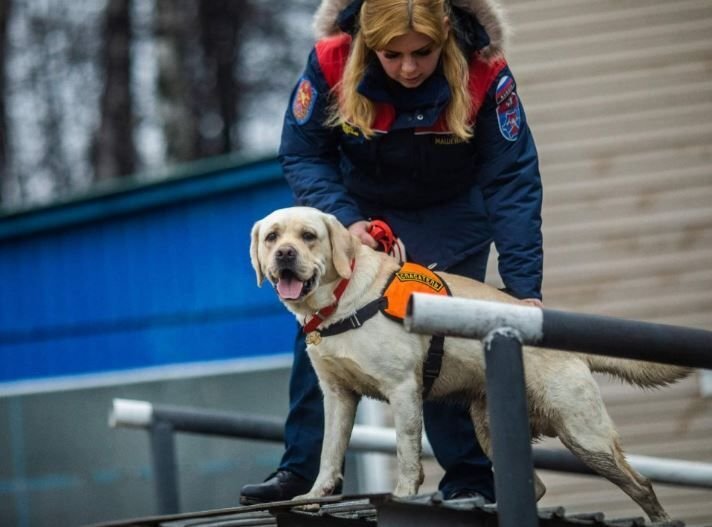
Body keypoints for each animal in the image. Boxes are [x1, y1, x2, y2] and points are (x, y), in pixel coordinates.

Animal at [250, 205, 688, 520]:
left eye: (309, 236)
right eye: (272, 237)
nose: (285, 254)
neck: (341, 301)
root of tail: (566, 340)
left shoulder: (402, 390)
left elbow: (406, 456)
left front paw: (402, 496)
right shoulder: (338, 395)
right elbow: (328, 453)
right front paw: (313, 496)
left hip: (584, 432)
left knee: (641, 485)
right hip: (492, 425)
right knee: (535, 485)